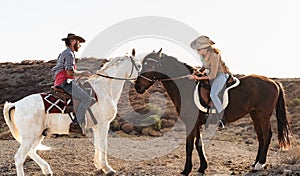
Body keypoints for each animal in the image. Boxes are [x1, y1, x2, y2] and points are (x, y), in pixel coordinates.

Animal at [2, 49, 141, 176]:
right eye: (139, 66)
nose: (140, 86)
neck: (104, 89)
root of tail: (16, 104)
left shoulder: (97, 126)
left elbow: (98, 145)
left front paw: (98, 165)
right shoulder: (103, 125)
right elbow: (103, 146)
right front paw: (107, 168)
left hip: (38, 134)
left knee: (31, 152)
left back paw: (47, 169)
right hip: (30, 136)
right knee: (19, 158)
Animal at [134, 48, 290, 175]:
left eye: (150, 65)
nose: (137, 86)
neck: (187, 87)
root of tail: (273, 82)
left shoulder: (191, 123)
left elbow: (189, 146)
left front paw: (186, 170)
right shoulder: (197, 123)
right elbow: (199, 144)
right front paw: (202, 167)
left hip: (263, 115)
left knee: (267, 136)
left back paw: (260, 164)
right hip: (255, 115)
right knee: (261, 138)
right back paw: (255, 164)